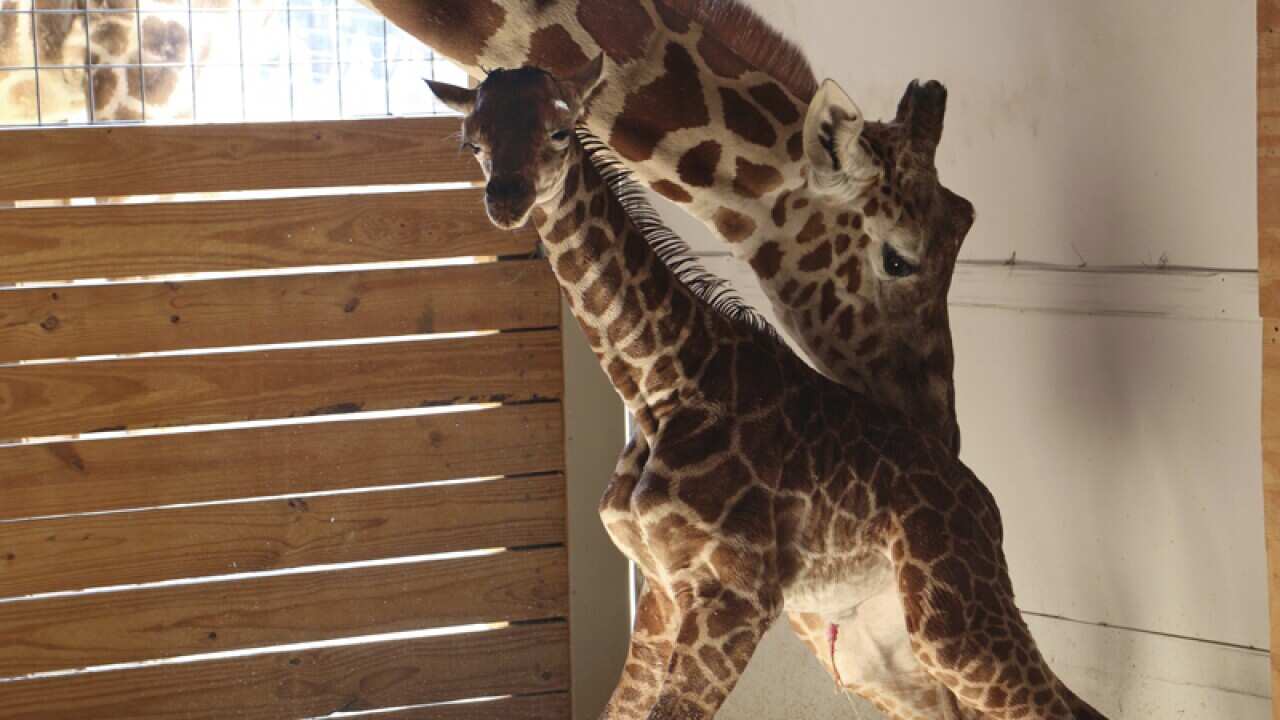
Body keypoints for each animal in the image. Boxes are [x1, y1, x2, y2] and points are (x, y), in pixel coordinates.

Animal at [426, 60, 1107, 720]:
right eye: (471, 142)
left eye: (561, 131)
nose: (506, 199)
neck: (656, 385)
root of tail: (986, 508)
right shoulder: (661, 589)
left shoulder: (736, 590)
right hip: (872, 645)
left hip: (952, 619)